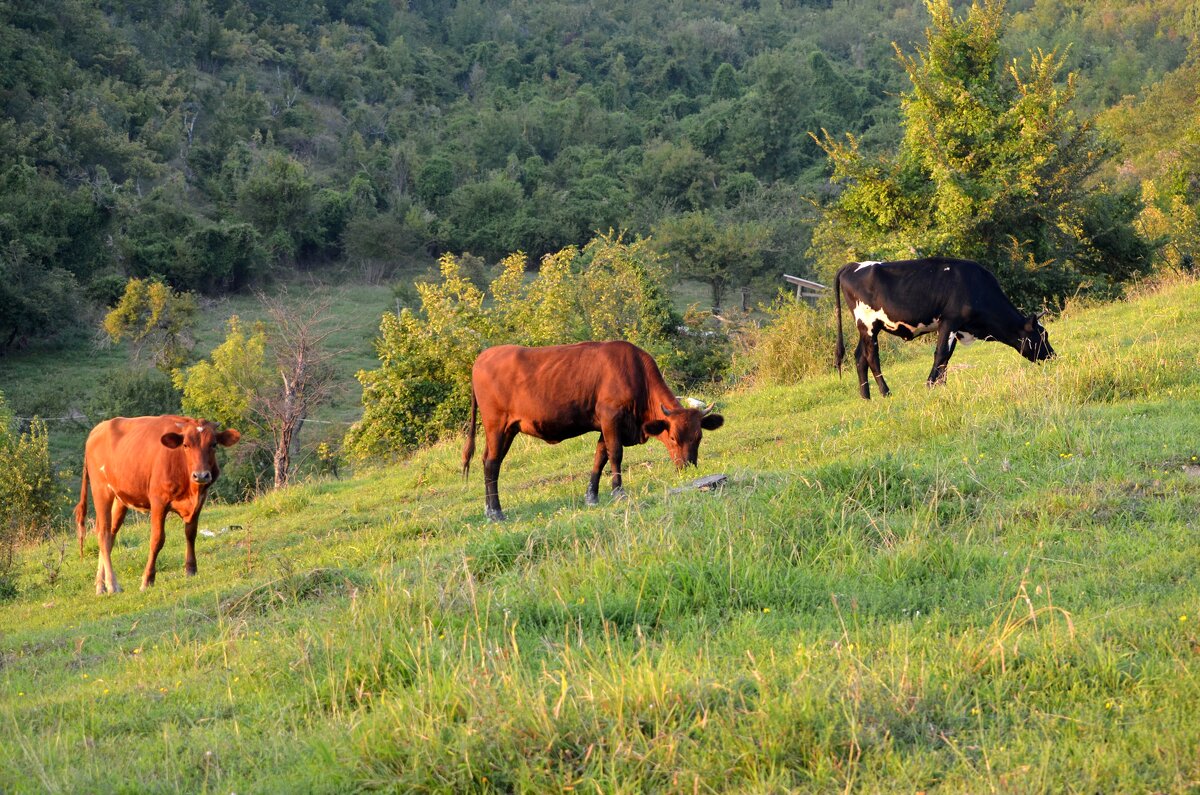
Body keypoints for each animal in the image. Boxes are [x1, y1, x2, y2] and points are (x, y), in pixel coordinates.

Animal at [75, 420, 238, 595]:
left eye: (213, 444)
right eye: (185, 445)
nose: (200, 475)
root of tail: (98, 428)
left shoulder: (199, 501)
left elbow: (191, 534)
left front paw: (191, 569)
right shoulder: (158, 502)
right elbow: (157, 539)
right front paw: (147, 579)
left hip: (120, 498)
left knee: (110, 533)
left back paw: (101, 585)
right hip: (101, 491)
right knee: (103, 534)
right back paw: (112, 584)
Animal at [458, 341, 720, 523]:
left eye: (699, 437)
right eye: (674, 437)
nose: (688, 466)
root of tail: (483, 356)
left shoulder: (607, 424)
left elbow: (599, 457)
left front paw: (592, 496)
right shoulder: (611, 416)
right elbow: (615, 454)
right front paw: (618, 492)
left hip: (506, 429)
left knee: (488, 460)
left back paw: (489, 508)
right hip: (497, 425)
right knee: (492, 464)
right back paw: (496, 512)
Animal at [835, 258, 1051, 401]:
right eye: (1042, 334)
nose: (1052, 355)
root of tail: (852, 265)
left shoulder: (955, 327)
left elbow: (946, 357)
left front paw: (942, 385)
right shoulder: (949, 321)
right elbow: (941, 353)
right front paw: (931, 385)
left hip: (867, 327)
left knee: (860, 356)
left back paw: (866, 397)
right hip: (868, 324)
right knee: (872, 356)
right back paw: (885, 392)